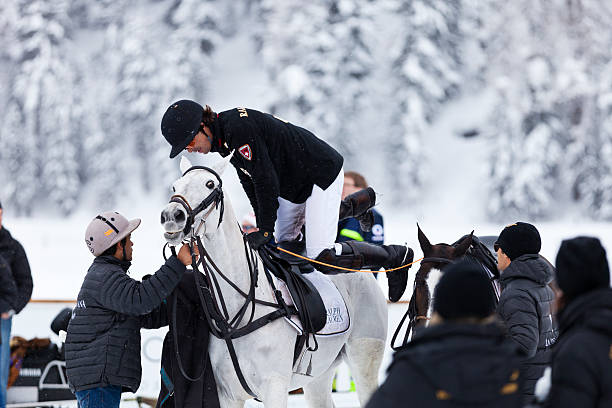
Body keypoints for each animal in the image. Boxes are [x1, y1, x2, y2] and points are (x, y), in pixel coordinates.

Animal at [159, 155, 388, 406]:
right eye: (175, 187)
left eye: (210, 184)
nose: (171, 216)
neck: (238, 313)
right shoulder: (226, 394)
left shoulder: (274, 386)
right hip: (319, 376)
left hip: (364, 358)